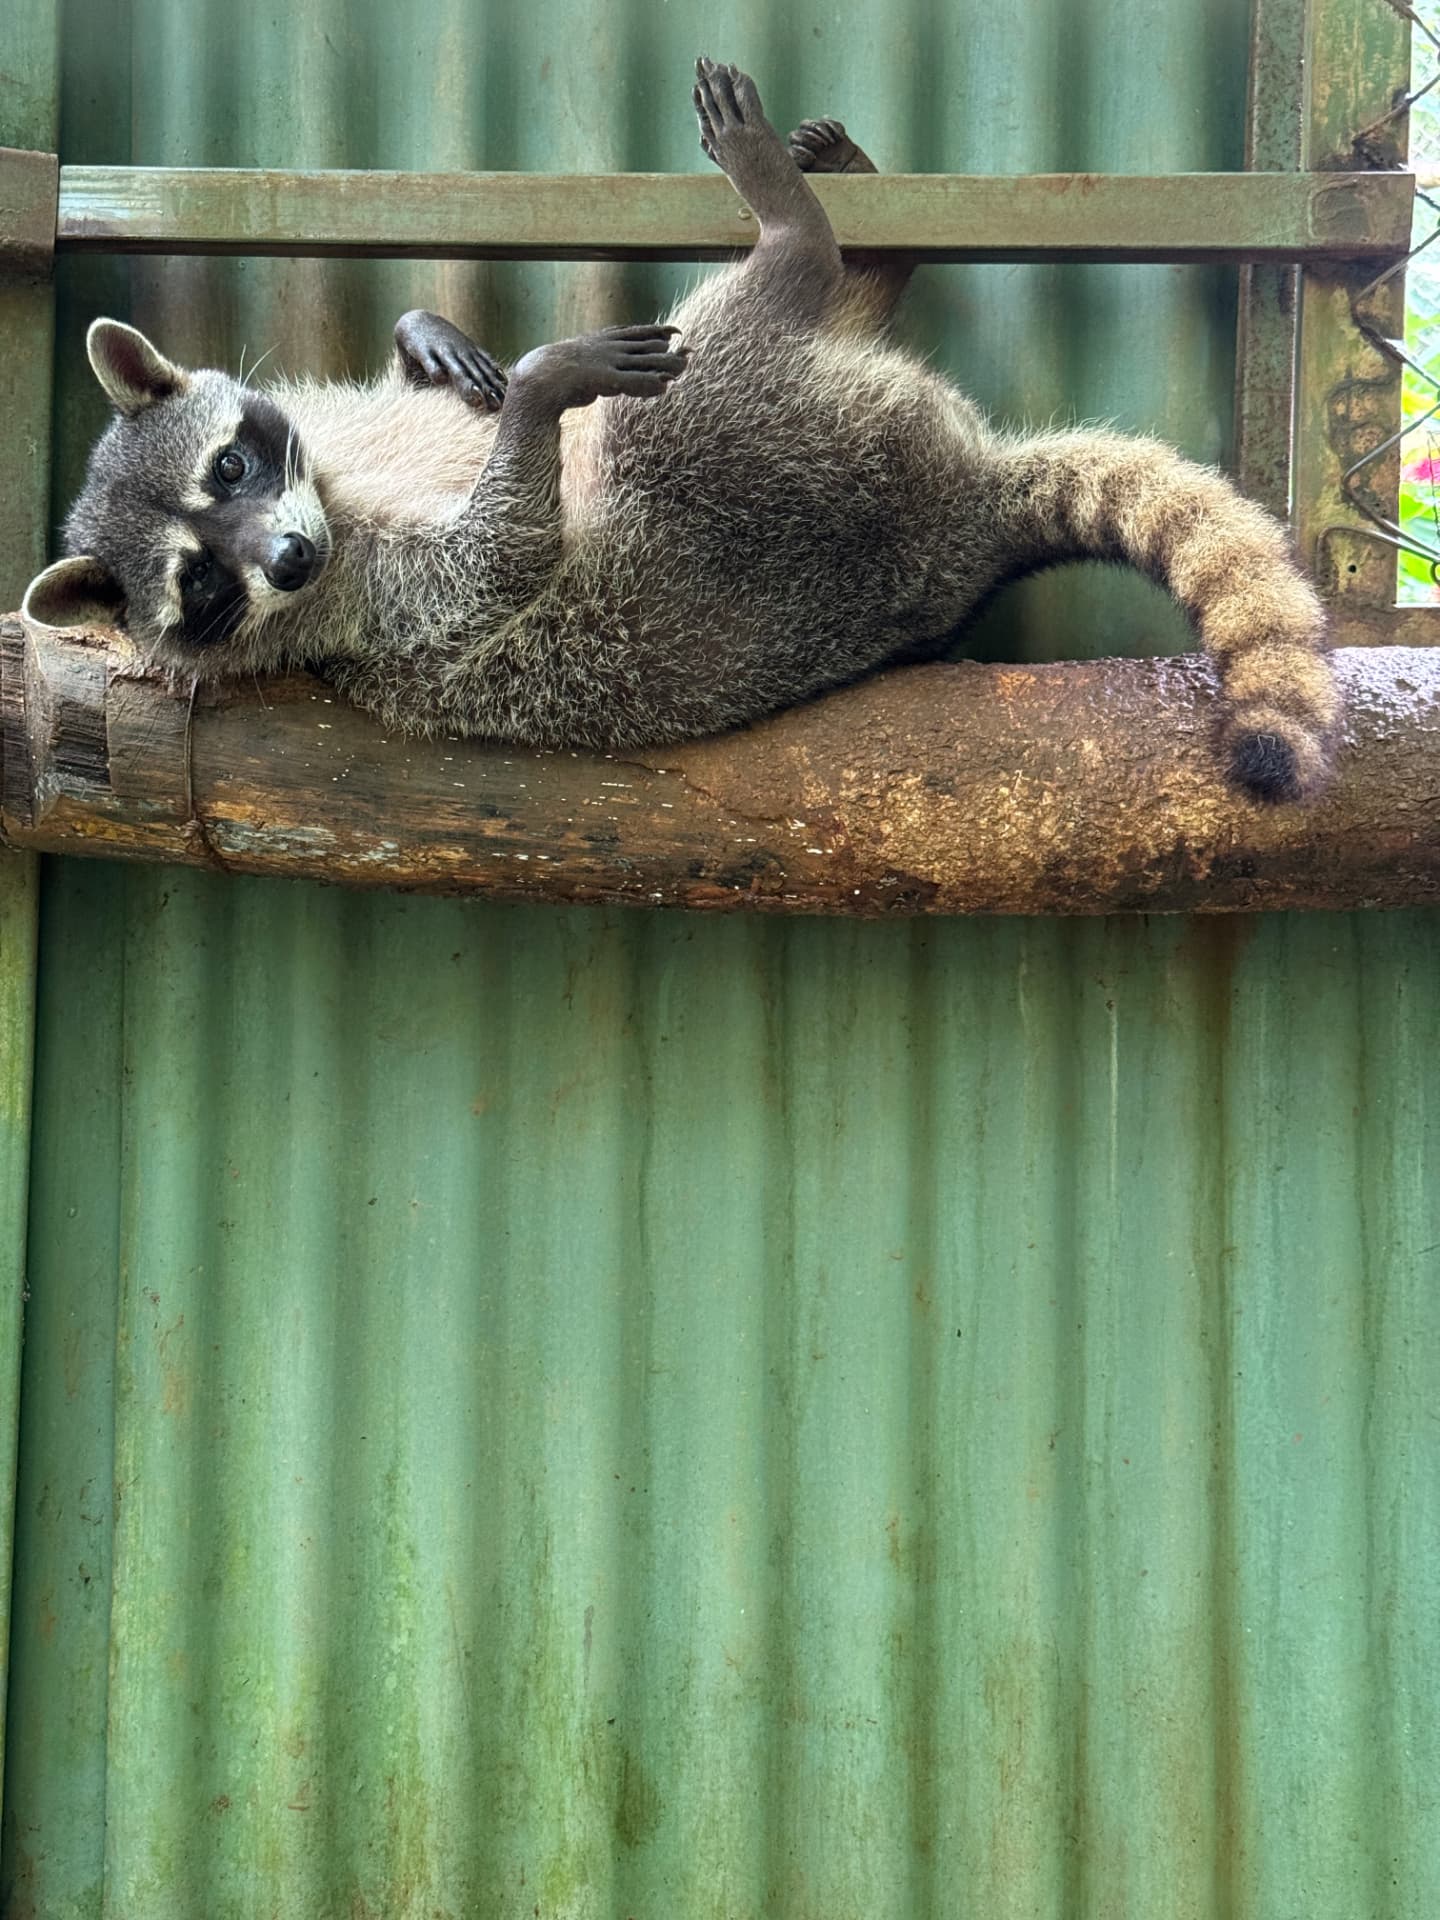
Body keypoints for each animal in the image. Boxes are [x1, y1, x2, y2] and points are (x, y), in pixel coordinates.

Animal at [25, 57, 1337, 803]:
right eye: (199, 591)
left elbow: (416, 396)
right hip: (755, 441)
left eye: (231, 463)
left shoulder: (335, 441)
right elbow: (497, 563)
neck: (336, 498)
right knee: (732, 342)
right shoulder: (368, 612)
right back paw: (797, 230)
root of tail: (965, 505)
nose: (290, 559)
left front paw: (431, 335)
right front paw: (541, 385)